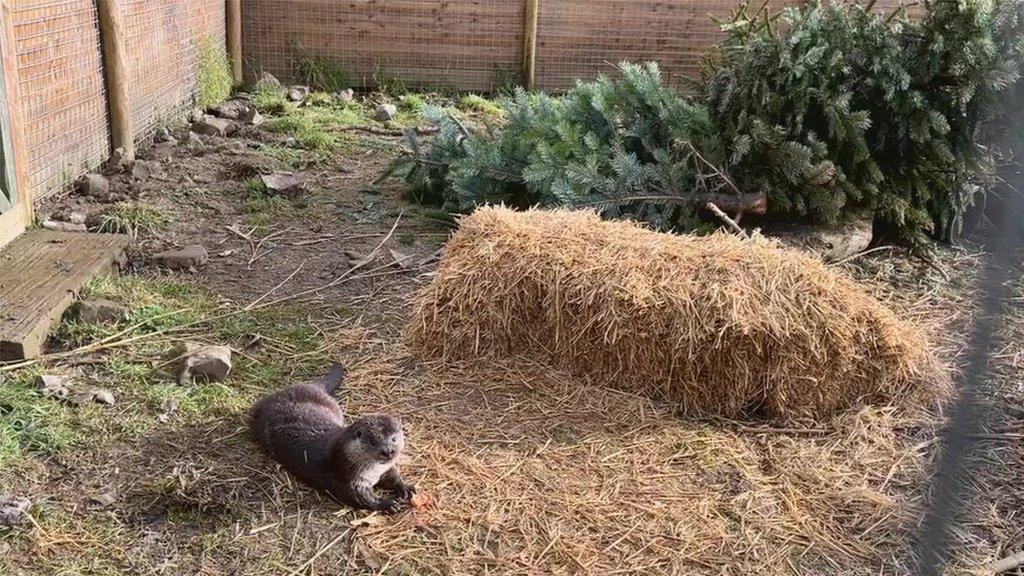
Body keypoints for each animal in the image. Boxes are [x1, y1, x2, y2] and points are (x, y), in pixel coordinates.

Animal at [249, 362, 413, 510]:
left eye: (393, 438)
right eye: (373, 442)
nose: (388, 451)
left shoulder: (382, 469)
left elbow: (392, 474)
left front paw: (404, 486)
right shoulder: (346, 480)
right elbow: (360, 498)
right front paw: (386, 504)